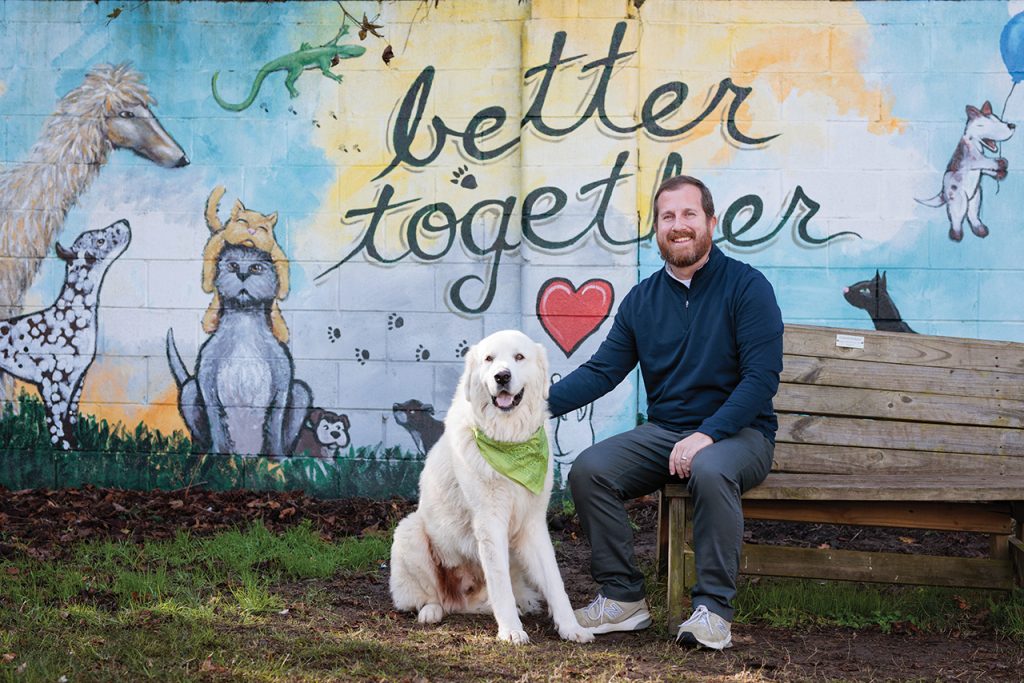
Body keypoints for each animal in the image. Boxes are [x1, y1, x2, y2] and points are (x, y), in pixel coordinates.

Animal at [165, 242, 309, 456]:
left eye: (255, 267)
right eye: (233, 265)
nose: (242, 274)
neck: (244, 321)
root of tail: (246, 456)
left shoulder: (283, 373)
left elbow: (275, 422)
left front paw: (278, 459)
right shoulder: (207, 371)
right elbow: (215, 419)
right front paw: (217, 456)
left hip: (301, 393)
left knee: (299, 391)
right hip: (189, 391)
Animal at [387, 331, 593, 647]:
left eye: (519, 357)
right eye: (489, 359)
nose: (502, 376)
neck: (509, 439)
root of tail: (460, 601)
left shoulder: (533, 524)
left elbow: (554, 581)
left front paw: (571, 627)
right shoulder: (489, 522)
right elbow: (500, 583)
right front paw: (511, 631)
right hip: (409, 532)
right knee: (433, 598)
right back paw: (431, 611)